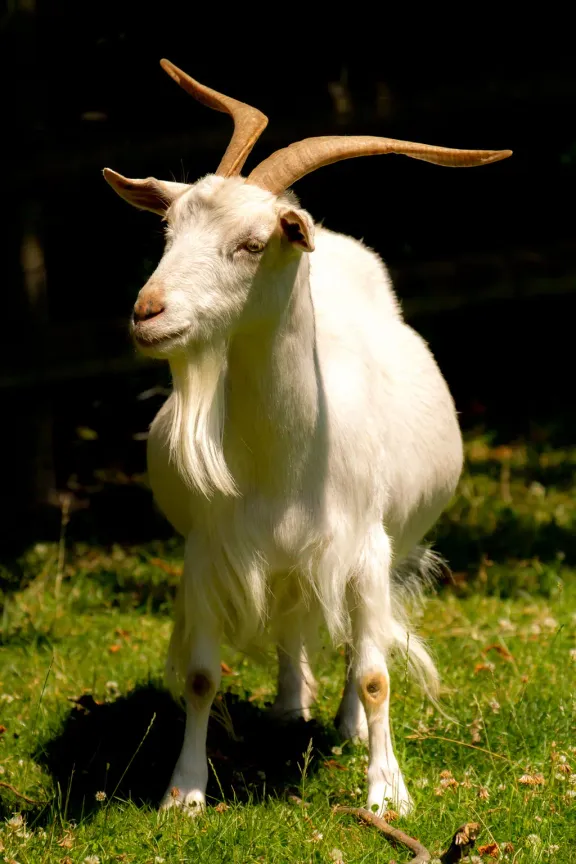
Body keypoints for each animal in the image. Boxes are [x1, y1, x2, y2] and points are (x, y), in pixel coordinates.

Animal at [104, 59, 511, 816]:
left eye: (251, 243)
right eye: (168, 230)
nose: (149, 313)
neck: (285, 460)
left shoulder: (366, 547)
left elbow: (377, 673)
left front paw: (387, 794)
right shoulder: (209, 550)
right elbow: (201, 676)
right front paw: (183, 792)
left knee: (352, 642)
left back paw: (346, 725)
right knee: (293, 617)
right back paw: (292, 706)